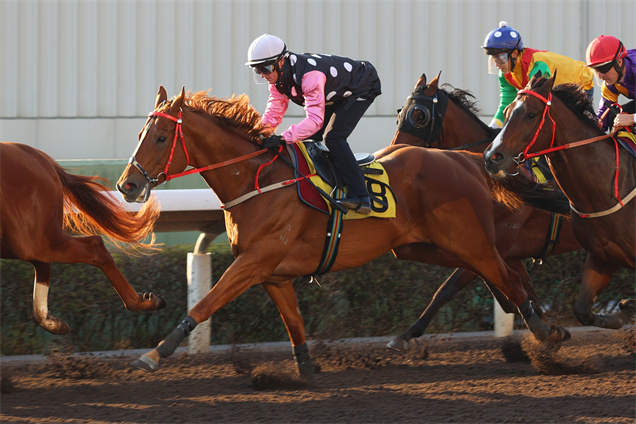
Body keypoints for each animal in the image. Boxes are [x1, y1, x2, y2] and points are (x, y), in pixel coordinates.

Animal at [0, 144, 166, 336]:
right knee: (43, 264)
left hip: (30, 240)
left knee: (93, 246)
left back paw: (143, 301)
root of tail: (38, 156)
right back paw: (52, 322)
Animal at [118, 87, 572, 380]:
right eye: (139, 134)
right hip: (422, 247)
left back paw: (543, 329)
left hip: (470, 242)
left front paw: (154, 354)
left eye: (161, 137)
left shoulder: (254, 261)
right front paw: (306, 371)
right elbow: (294, 324)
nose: (127, 185)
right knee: (498, 276)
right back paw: (546, 327)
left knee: (500, 274)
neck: (256, 180)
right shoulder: (272, 273)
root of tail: (467, 159)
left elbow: (205, 303)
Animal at [386, 73, 584, 352]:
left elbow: (447, 288)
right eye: (400, 112)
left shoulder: (491, 246)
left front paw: (406, 334)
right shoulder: (508, 252)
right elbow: (525, 289)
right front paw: (550, 331)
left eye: (419, 115)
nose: (395, 154)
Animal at [484, 73, 632, 330]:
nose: (492, 157)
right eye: (508, 110)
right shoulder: (602, 256)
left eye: (531, 114)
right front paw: (622, 311)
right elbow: (582, 311)